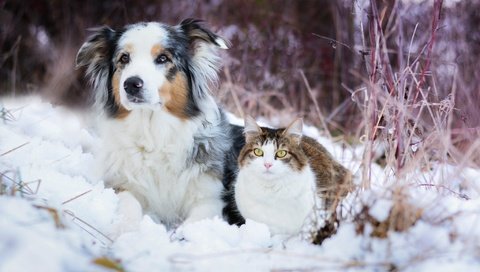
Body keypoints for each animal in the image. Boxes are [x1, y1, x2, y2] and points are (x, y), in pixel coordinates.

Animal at [77, 18, 246, 227]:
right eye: (124, 58)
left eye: (163, 58)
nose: (131, 84)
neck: (153, 132)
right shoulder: (120, 183)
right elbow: (129, 203)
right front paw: (124, 227)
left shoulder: (210, 199)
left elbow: (194, 224)